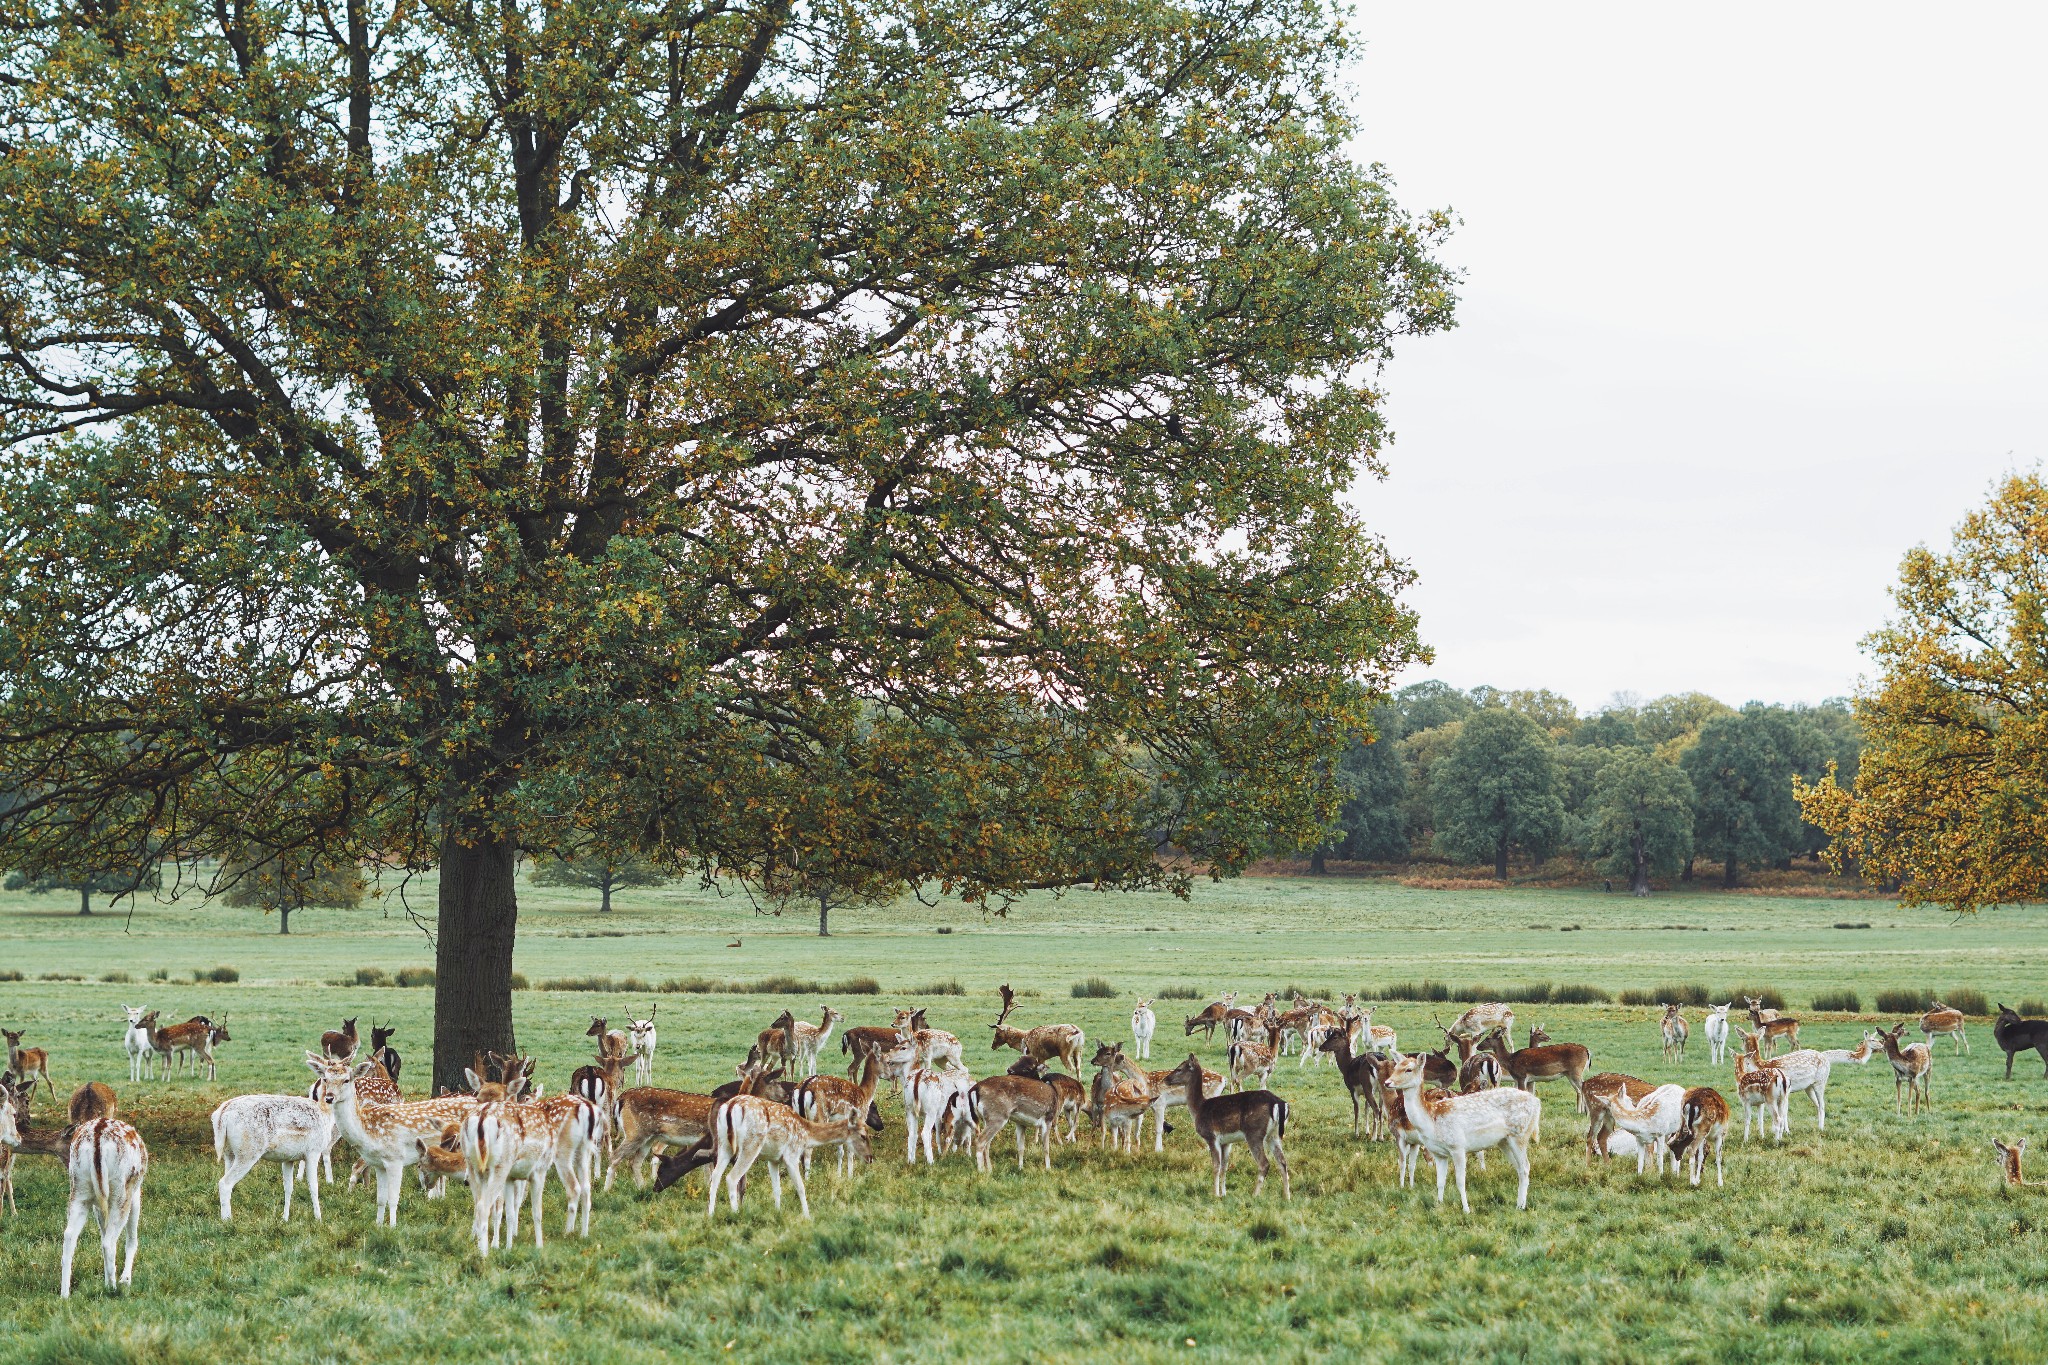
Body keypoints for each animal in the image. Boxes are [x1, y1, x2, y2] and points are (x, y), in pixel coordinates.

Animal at [59, 1113, 149, 1301]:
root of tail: (97, 1133)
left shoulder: (97, 1205)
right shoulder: (136, 1192)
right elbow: (132, 1239)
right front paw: (125, 1279)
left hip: (79, 1189)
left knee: (69, 1236)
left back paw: (65, 1294)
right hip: (121, 1191)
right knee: (109, 1242)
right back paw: (113, 1288)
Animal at [210, 1055, 337, 1227]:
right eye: (325, 1077)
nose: (331, 1097)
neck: (324, 1113)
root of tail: (222, 1114)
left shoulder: (289, 1158)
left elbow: (288, 1187)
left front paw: (285, 1218)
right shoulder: (313, 1151)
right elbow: (313, 1185)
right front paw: (319, 1219)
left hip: (228, 1153)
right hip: (248, 1153)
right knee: (225, 1183)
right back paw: (227, 1221)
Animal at [704, 1096, 872, 1219]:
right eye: (863, 1135)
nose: (870, 1158)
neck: (806, 1135)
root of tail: (730, 1107)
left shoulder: (773, 1159)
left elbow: (777, 1189)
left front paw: (778, 1212)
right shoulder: (792, 1154)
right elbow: (801, 1187)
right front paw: (807, 1216)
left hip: (724, 1143)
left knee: (716, 1175)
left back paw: (711, 1214)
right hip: (750, 1145)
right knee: (731, 1177)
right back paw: (735, 1213)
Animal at [1376, 1055, 1540, 1211]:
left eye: (1408, 1069)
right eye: (1396, 1067)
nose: (1388, 1082)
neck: (1431, 1120)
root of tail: (1537, 1102)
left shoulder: (1458, 1146)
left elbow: (1460, 1181)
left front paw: (1466, 1209)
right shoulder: (1438, 1153)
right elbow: (1440, 1181)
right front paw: (1439, 1205)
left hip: (1520, 1134)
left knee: (1525, 1167)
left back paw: (1521, 1206)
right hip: (1504, 1141)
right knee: (1519, 1168)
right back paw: (1519, 1203)